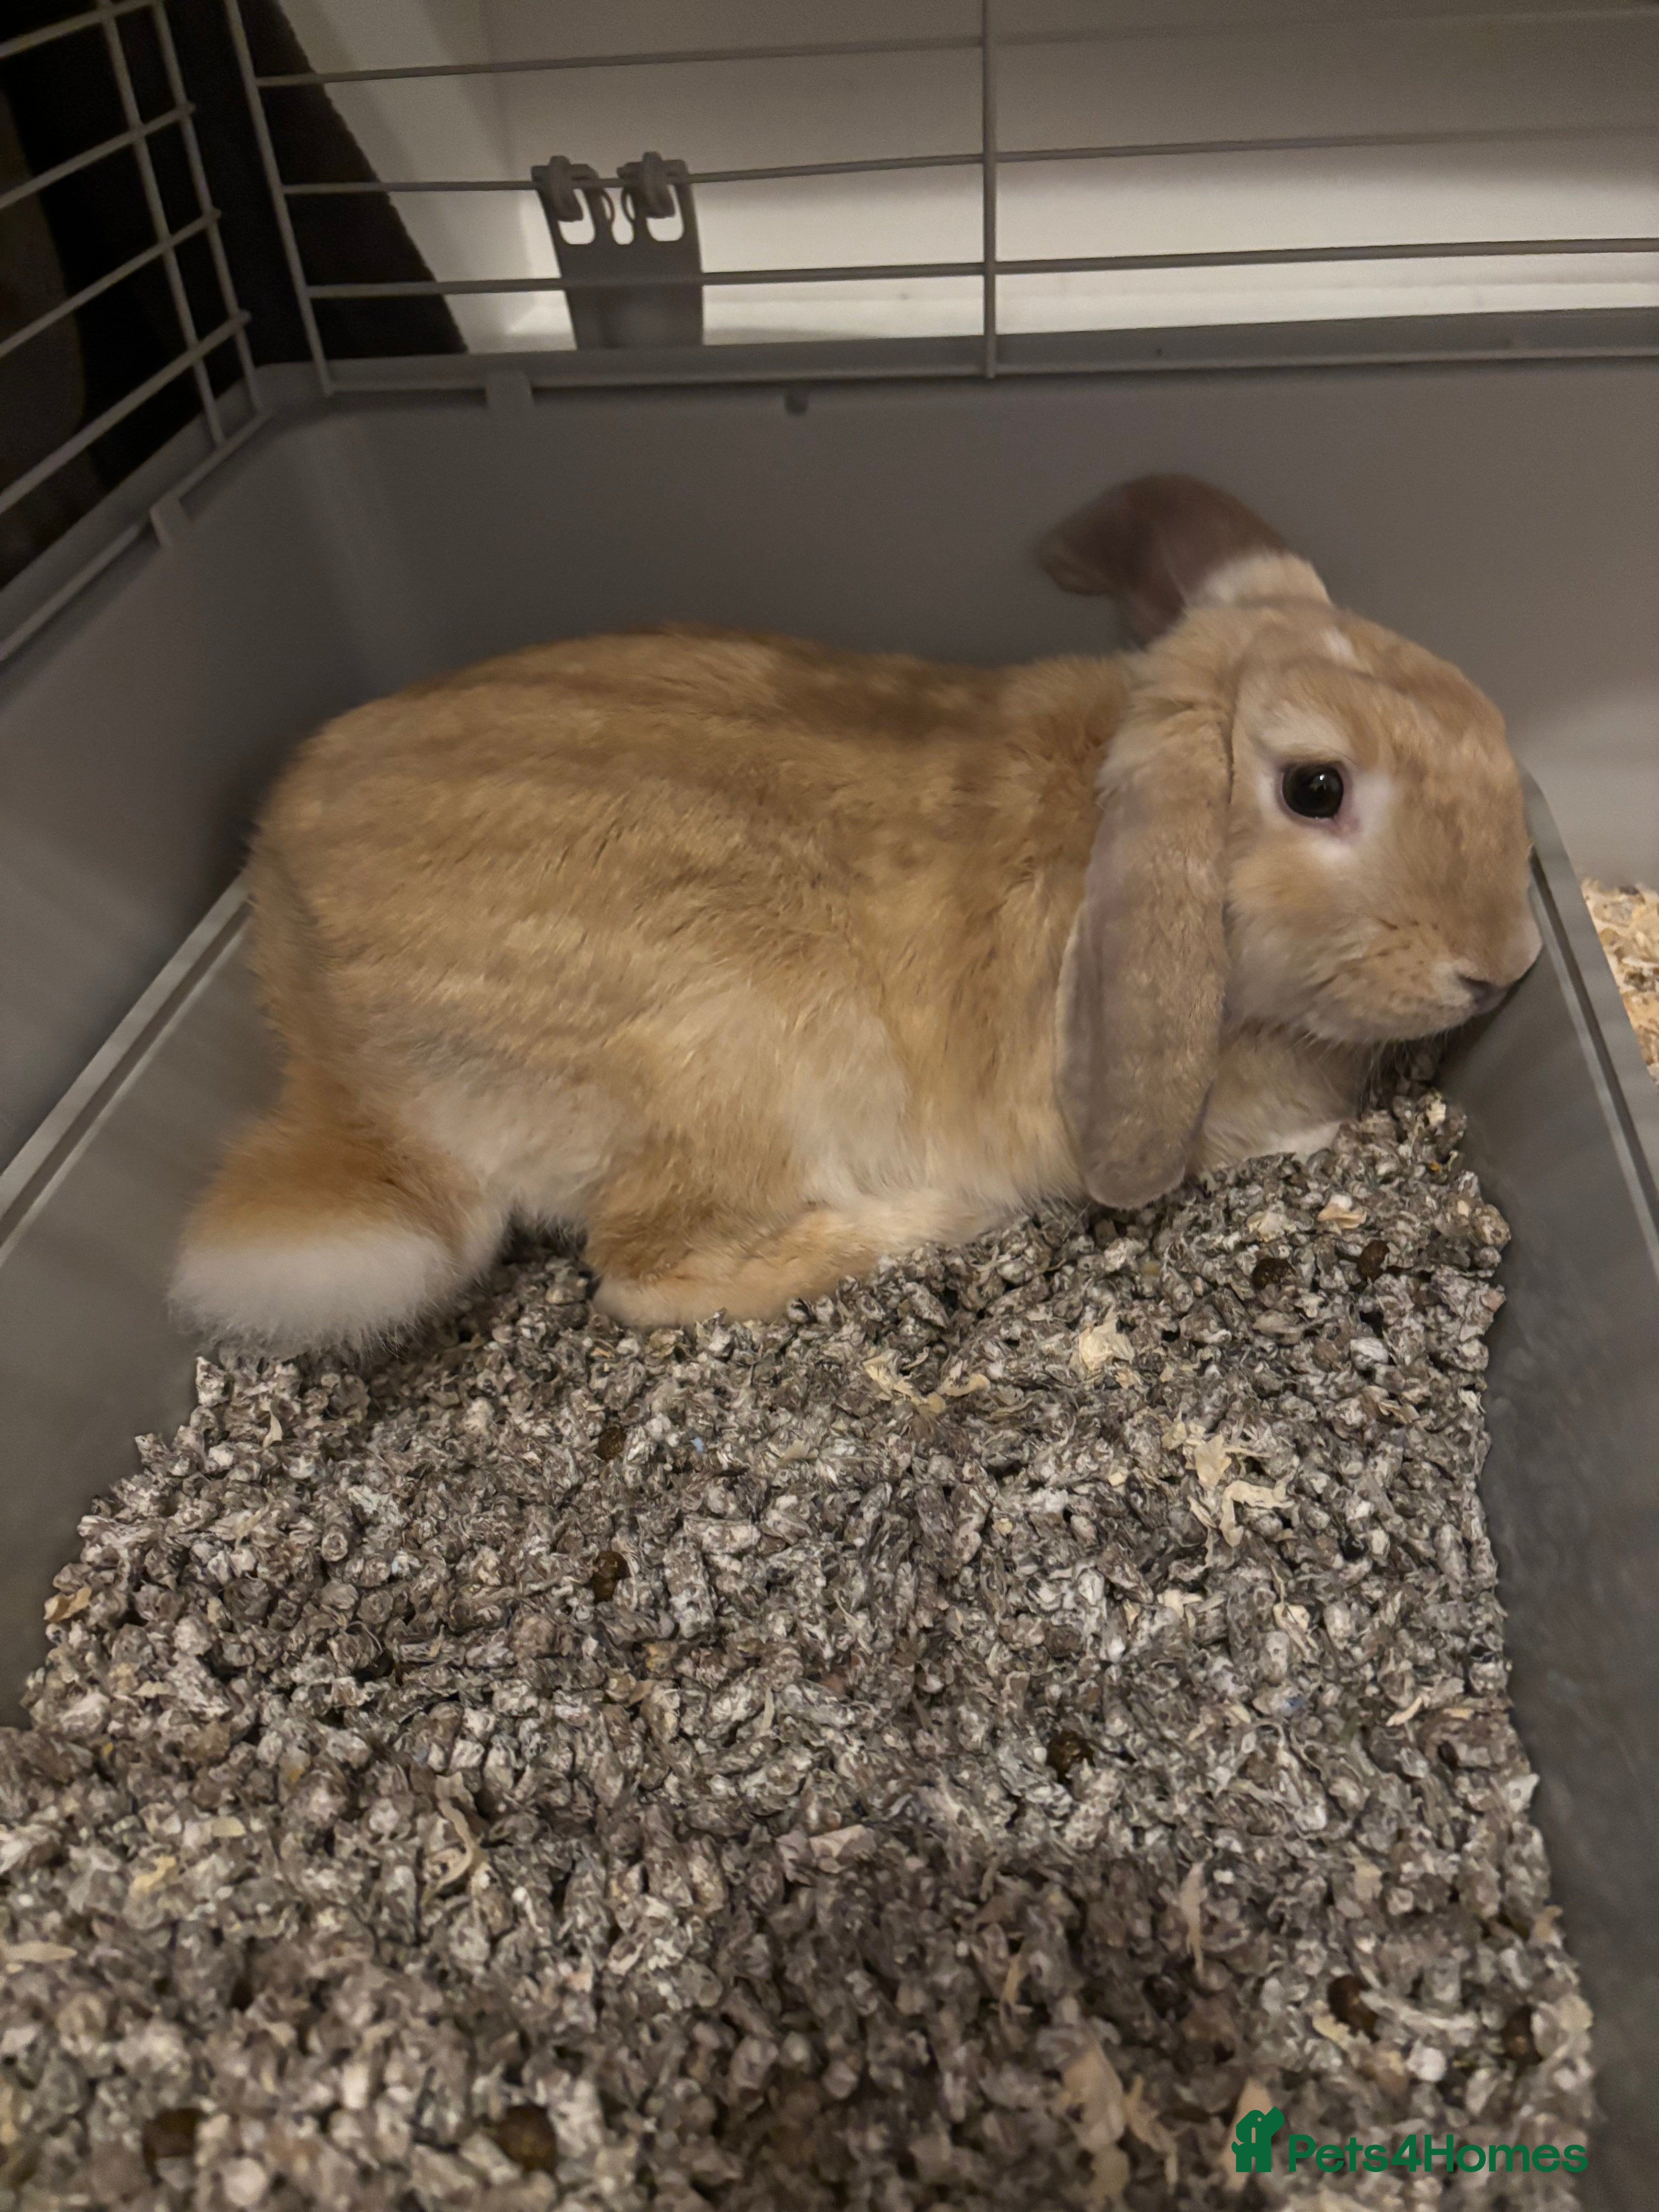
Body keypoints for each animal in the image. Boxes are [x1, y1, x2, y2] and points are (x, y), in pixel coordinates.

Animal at [172, 474, 1540, 1352]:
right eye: (1317, 788)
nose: (1506, 963)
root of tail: (335, 1051)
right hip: (737, 1061)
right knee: (641, 1274)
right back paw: (924, 1224)